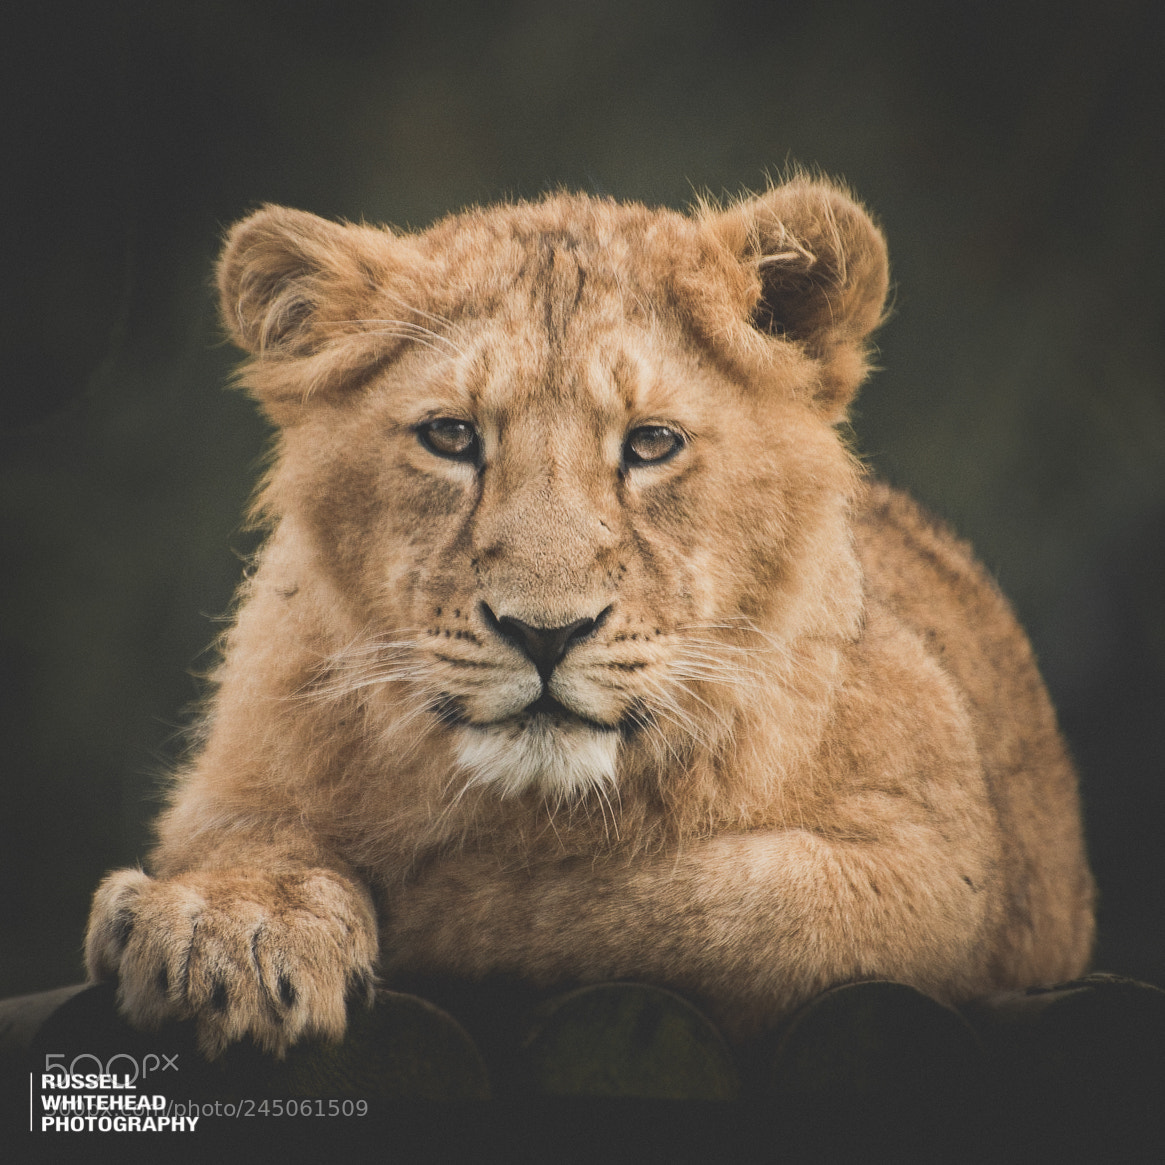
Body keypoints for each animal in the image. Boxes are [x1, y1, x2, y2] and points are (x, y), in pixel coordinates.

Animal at [85, 175, 1095, 1058]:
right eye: (451, 435)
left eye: (650, 443)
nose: (544, 632)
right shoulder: (234, 781)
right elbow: (242, 838)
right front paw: (229, 926)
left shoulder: (936, 868)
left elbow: (697, 907)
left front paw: (435, 899)